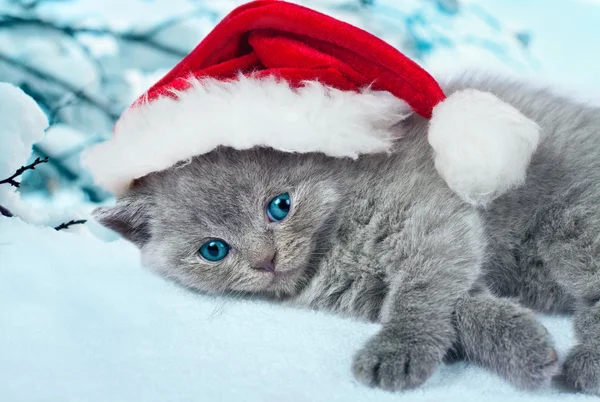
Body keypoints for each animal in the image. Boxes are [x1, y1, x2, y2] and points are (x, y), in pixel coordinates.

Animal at [94, 75, 600, 392]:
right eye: (213, 250)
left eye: (280, 206)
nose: (266, 260)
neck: (333, 247)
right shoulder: (374, 290)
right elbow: (461, 307)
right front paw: (526, 347)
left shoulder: (432, 220)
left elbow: (419, 292)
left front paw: (396, 350)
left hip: (574, 222)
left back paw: (584, 366)